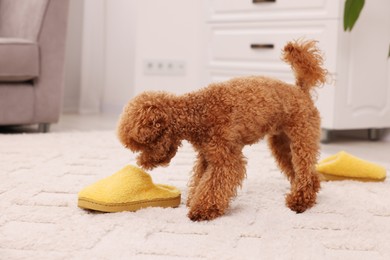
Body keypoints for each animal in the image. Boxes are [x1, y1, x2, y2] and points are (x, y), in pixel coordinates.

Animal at [118, 39, 326, 220]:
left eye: (141, 144)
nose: (142, 163)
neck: (196, 113)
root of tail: (301, 91)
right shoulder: (206, 156)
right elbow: (200, 180)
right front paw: (193, 199)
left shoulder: (226, 158)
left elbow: (213, 185)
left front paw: (202, 210)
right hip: (282, 143)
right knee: (307, 172)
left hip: (302, 139)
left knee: (305, 170)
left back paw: (300, 201)